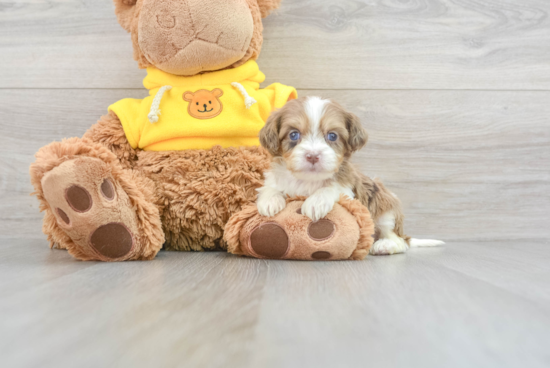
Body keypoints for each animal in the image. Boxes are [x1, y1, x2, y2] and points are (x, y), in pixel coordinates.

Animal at [258, 96, 444, 254]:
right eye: (293, 134)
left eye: (332, 135)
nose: (313, 156)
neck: (308, 180)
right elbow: (270, 186)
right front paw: (269, 201)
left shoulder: (349, 190)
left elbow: (332, 188)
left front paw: (316, 202)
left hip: (385, 206)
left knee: (400, 241)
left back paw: (384, 245)